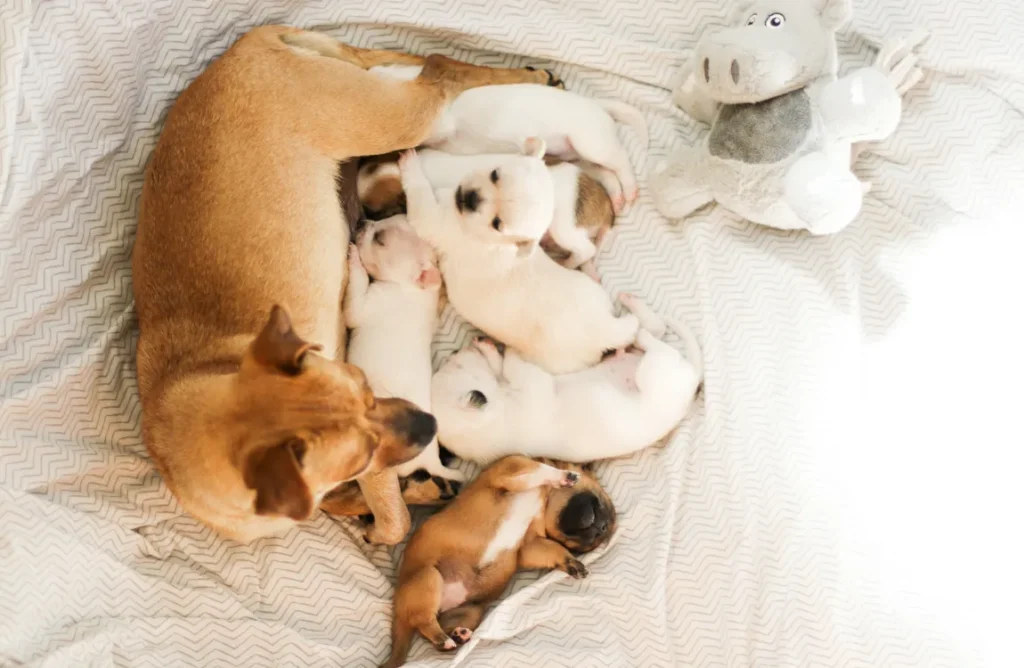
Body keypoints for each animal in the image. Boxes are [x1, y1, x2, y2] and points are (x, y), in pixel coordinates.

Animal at [348, 216, 468, 545]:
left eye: (380, 240)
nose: (363, 220)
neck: (412, 290)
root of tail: (431, 462)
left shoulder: (366, 304)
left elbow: (355, 295)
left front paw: (354, 260)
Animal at [378, 454, 610, 667]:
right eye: (599, 505)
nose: (602, 529)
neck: (544, 499)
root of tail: (399, 609)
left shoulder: (530, 544)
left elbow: (552, 549)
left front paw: (570, 561)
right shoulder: (508, 473)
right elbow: (536, 473)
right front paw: (563, 477)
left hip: (470, 611)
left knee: (432, 632)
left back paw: (456, 636)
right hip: (429, 577)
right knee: (422, 621)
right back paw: (444, 639)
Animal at [395, 147, 634, 374]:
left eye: (497, 223)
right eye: (494, 174)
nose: (471, 197)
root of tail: (605, 330)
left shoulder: (433, 220)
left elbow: (420, 194)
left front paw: (411, 166)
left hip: (564, 229)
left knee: (586, 249)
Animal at [425, 295, 704, 467]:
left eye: (452, 363)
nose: (454, 352)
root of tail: (692, 382)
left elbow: (499, 366)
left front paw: (489, 348)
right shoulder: (532, 385)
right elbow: (513, 365)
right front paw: (508, 351)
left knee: (656, 331)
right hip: (654, 373)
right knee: (655, 341)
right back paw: (641, 330)